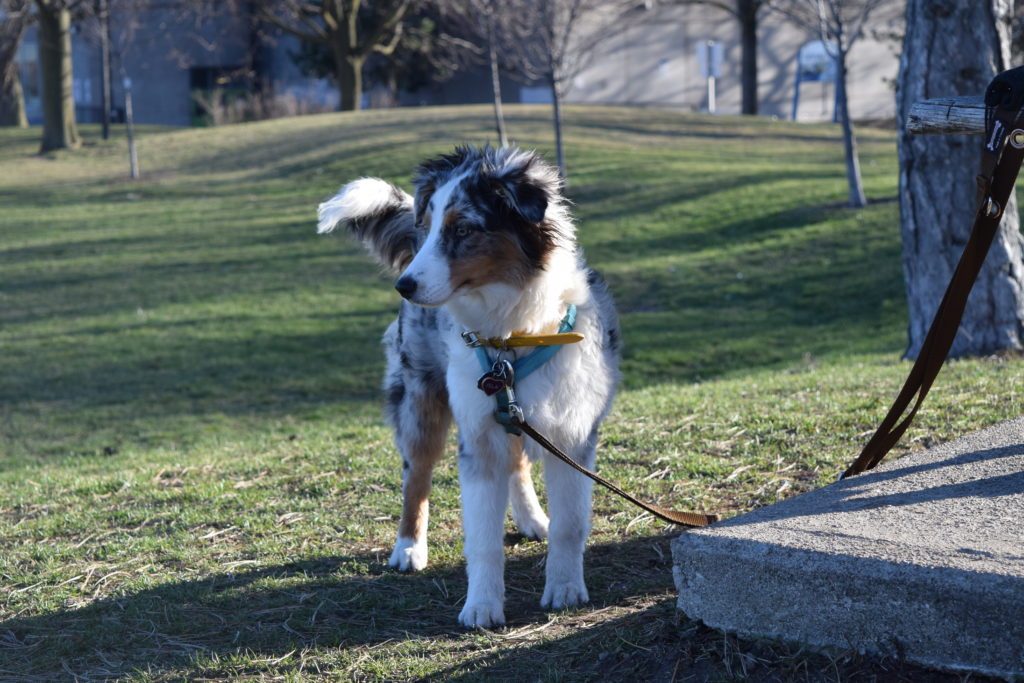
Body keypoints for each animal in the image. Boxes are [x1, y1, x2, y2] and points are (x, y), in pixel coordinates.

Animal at [319, 147, 618, 626]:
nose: (404, 286)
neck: (513, 337)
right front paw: (481, 605)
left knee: (517, 463)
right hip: (421, 401)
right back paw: (409, 547)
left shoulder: (570, 433)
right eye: (429, 227)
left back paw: (533, 519)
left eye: (463, 229)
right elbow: (481, 539)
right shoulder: (478, 437)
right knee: (416, 476)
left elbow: (571, 524)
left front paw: (565, 588)